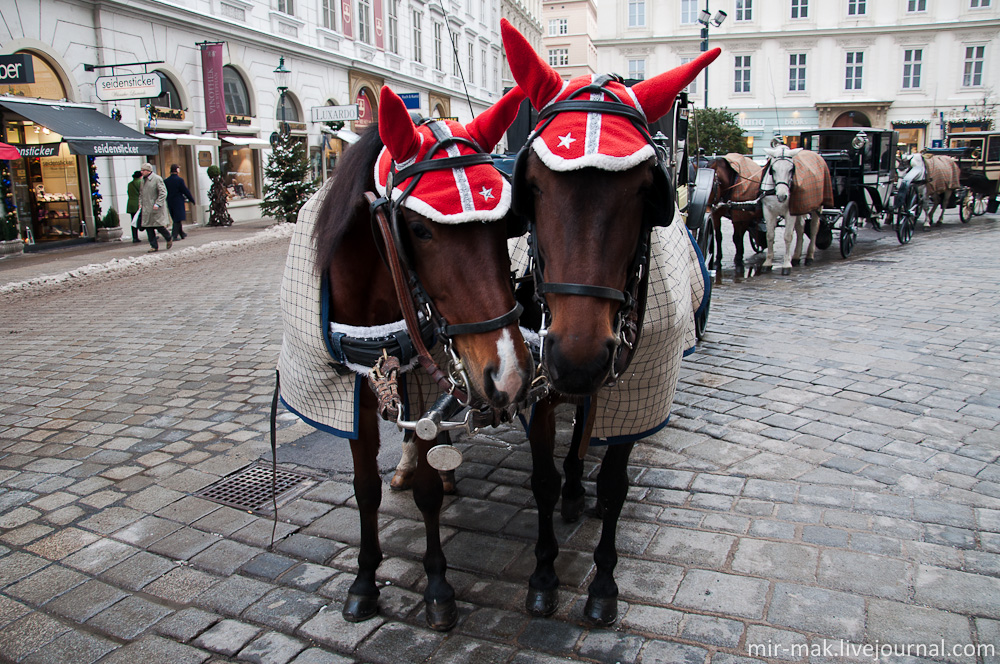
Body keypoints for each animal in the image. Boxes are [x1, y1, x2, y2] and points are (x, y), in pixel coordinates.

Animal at [278, 85, 536, 632]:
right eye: (419, 230)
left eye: (504, 226)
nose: (510, 373)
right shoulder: (352, 394)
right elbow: (365, 489)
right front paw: (364, 580)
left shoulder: (429, 379)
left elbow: (428, 492)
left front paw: (437, 586)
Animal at [504, 18, 716, 624]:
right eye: (531, 185)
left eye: (648, 191)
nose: (577, 358)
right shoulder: (544, 383)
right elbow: (544, 479)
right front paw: (544, 574)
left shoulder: (639, 388)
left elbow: (616, 484)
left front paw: (602, 584)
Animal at [760, 147, 824, 276]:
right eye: (773, 169)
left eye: (791, 170)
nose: (782, 196)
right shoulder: (768, 210)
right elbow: (770, 235)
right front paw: (768, 262)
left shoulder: (790, 212)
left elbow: (788, 236)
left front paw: (786, 264)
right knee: (800, 228)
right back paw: (796, 256)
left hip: (816, 207)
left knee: (814, 228)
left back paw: (809, 255)